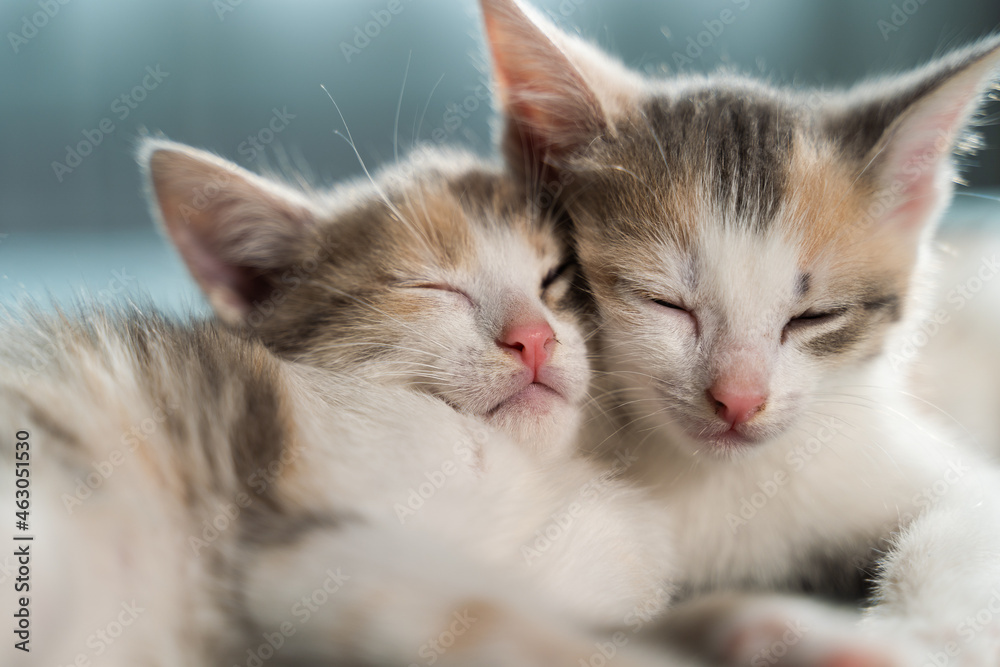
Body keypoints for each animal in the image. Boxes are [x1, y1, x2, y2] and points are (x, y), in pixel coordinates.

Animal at [476, 1, 1000, 664]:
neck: (723, 485)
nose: (739, 399)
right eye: (664, 302)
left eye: (814, 317)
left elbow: (964, 523)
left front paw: (906, 638)